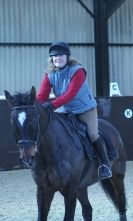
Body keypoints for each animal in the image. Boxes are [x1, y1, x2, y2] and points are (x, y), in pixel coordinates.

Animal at [4, 86, 127, 221]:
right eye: (12, 121)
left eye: (34, 120)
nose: (27, 156)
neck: (50, 152)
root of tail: (112, 128)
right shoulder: (43, 190)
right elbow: (41, 216)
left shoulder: (70, 190)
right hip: (81, 187)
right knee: (88, 209)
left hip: (117, 177)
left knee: (121, 204)